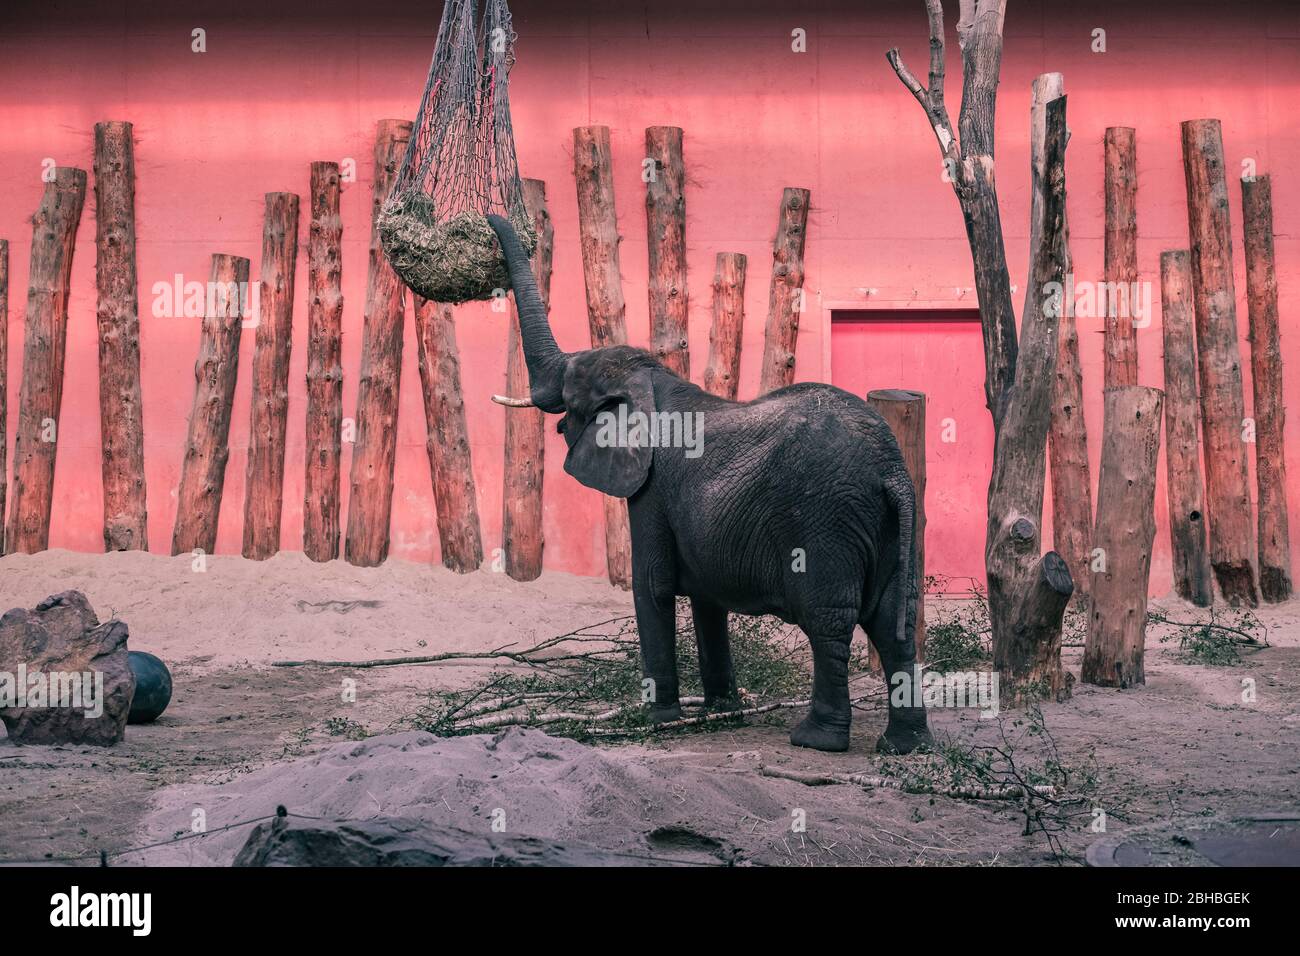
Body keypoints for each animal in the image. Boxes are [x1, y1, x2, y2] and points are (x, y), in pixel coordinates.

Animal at [486, 215, 932, 754]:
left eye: (572, 386)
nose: (488, 219)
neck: (652, 381)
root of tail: (891, 469)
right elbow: (707, 598)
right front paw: (721, 713)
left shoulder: (652, 490)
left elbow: (651, 586)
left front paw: (658, 720)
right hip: (890, 522)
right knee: (894, 624)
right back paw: (906, 746)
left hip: (827, 519)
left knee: (830, 622)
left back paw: (814, 739)